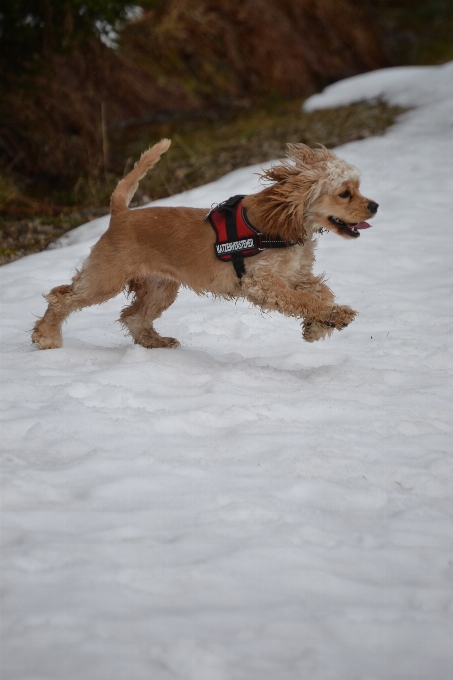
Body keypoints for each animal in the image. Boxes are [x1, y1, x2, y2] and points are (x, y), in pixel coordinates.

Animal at [31, 139, 376, 350]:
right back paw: (46, 337)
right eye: (345, 193)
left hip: (160, 288)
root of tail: (121, 214)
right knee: (61, 297)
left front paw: (318, 326)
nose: (374, 206)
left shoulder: (297, 276)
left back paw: (156, 343)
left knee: (132, 316)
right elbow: (305, 300)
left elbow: (321, 292)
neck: (282, 219)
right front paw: (334, 316)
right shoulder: (263, 283)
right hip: (106, 279)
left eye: (358, 188)